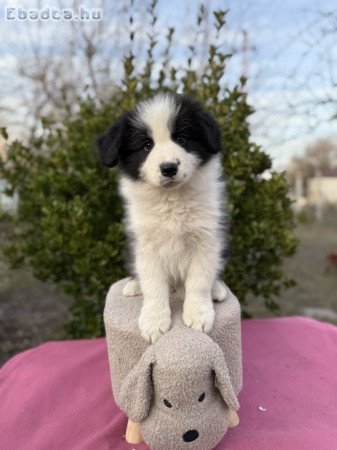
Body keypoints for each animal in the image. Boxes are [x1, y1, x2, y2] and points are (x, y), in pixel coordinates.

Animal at [97, 93, 226, 342]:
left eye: (182, 139)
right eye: (147, 145)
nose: (168, 168)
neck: (171, 200)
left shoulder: (206, 239)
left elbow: (199, 279)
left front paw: (198, 314)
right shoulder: (145, 244)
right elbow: (153, 283)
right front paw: (154, 321)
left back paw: (217, 288)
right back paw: (134, 286)